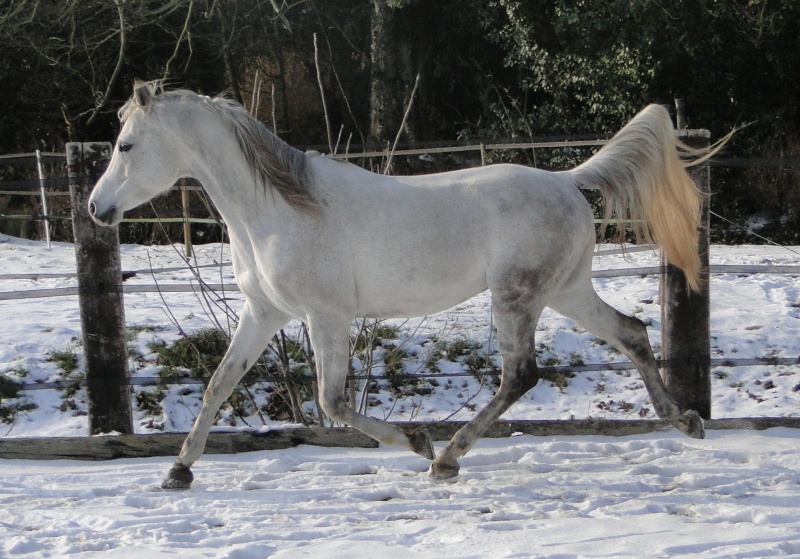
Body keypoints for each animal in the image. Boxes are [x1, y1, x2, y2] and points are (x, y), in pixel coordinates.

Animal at [92, 80, 712, 490]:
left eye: (125, 145)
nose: (97, 210)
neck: (279, 211)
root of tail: (565, 180)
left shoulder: (326, 316)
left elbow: (332, 401)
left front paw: (415, 441)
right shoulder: (263, 313)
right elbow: (219, 386)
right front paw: (178, 470)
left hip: (517, 296)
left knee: (521, 375)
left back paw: (446, 458)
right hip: (566, 290)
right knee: (631, 333)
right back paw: (684, 419)